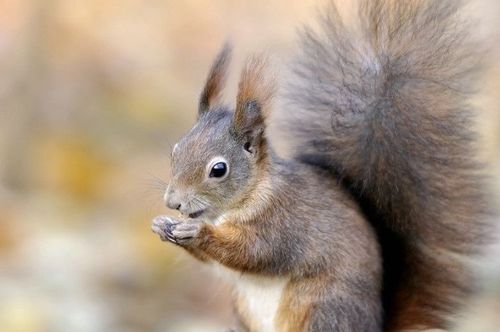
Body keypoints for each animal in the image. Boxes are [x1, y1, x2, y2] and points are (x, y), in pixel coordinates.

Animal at [150, 0, 490, 330]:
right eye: (176, 150)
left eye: (218, 170)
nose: (173, 202)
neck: (248, 197)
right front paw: (163, 225)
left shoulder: (283, 223)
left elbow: (253, 252)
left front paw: (198, 232)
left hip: (319, 307)